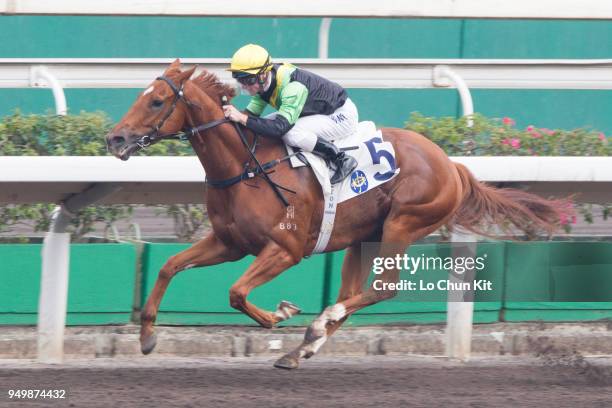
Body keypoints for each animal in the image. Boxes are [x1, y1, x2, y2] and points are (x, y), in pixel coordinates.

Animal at [106, 60, 568, 370]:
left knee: (382, 289)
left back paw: (317, 325)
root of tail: (451, 164)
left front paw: (279, 315)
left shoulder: (285, 248)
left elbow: (236, 293)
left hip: (403, 223)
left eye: (158, 101)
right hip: (362, 239)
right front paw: (147, 337)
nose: (115, 139)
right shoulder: (229, 242)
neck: (246, 167)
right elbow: (168, 266)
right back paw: (303, 348)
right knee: (353, 293)